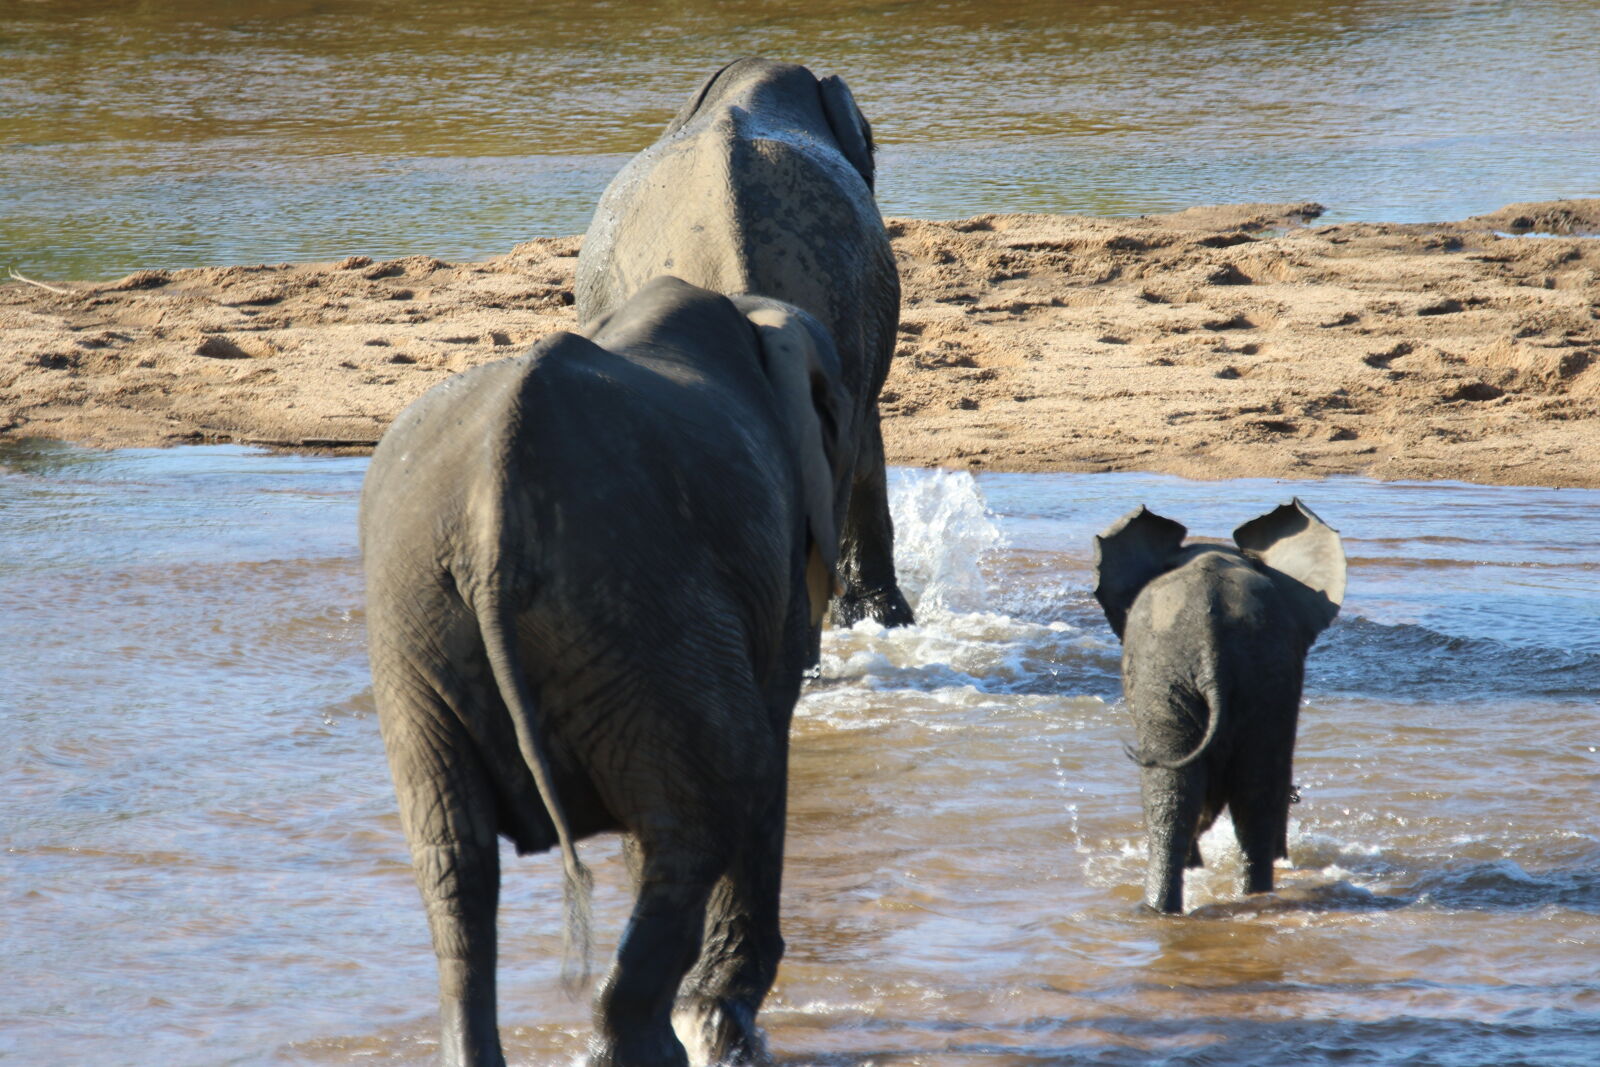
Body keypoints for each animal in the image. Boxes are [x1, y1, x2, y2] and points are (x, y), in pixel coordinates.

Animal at [359, 276, 851, 1067]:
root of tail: (490, 511)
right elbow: (770, 732)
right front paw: (728, 1026)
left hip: (418, 627)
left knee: (452, 853)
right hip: (639, 598)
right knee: (721, 791)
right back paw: (668, 1042)